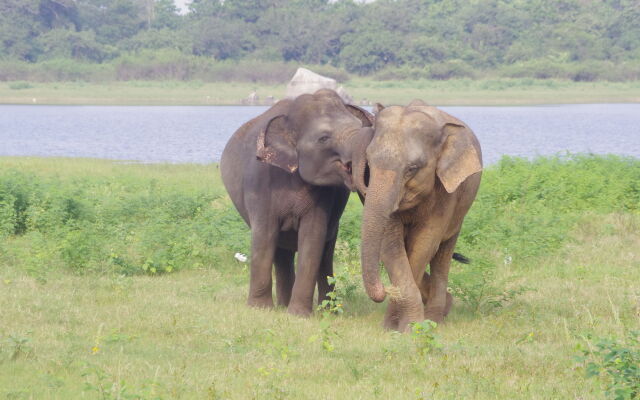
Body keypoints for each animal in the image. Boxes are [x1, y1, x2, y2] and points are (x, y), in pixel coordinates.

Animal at [220, 89, 372, 318]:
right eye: (323, 138)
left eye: (359, 125)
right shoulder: (260, 185)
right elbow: (264, 236)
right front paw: (259, 309)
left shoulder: (323, 197)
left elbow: (312, 239)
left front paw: (298, 315)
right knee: (280, 252)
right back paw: (283, 306)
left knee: (325, 254)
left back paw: (326, 312)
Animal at [352, 99, 482, 332]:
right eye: (369, 162)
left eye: (412, 168)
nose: (384, 290)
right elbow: (390, 246)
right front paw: (392, 327)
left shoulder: (446, 191)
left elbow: (424, 245)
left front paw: (410, 328)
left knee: (442, 255)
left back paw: (436, 318)